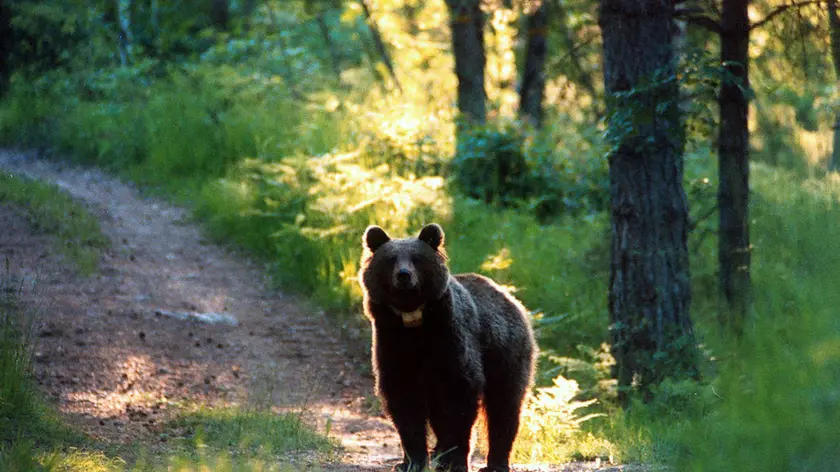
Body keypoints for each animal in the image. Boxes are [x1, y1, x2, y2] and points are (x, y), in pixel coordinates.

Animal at [359, 223, 537, 472]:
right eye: (391, 259)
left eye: (417, 258)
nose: (404, 275)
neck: (414, 323)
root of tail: (510, 297)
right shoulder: (393, 344)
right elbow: (403, 402)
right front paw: (411, 461)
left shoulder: (450, 341)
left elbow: (458, 399)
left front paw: (454, 460)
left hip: (505, 353)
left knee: (504, 406)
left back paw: (495, 462)